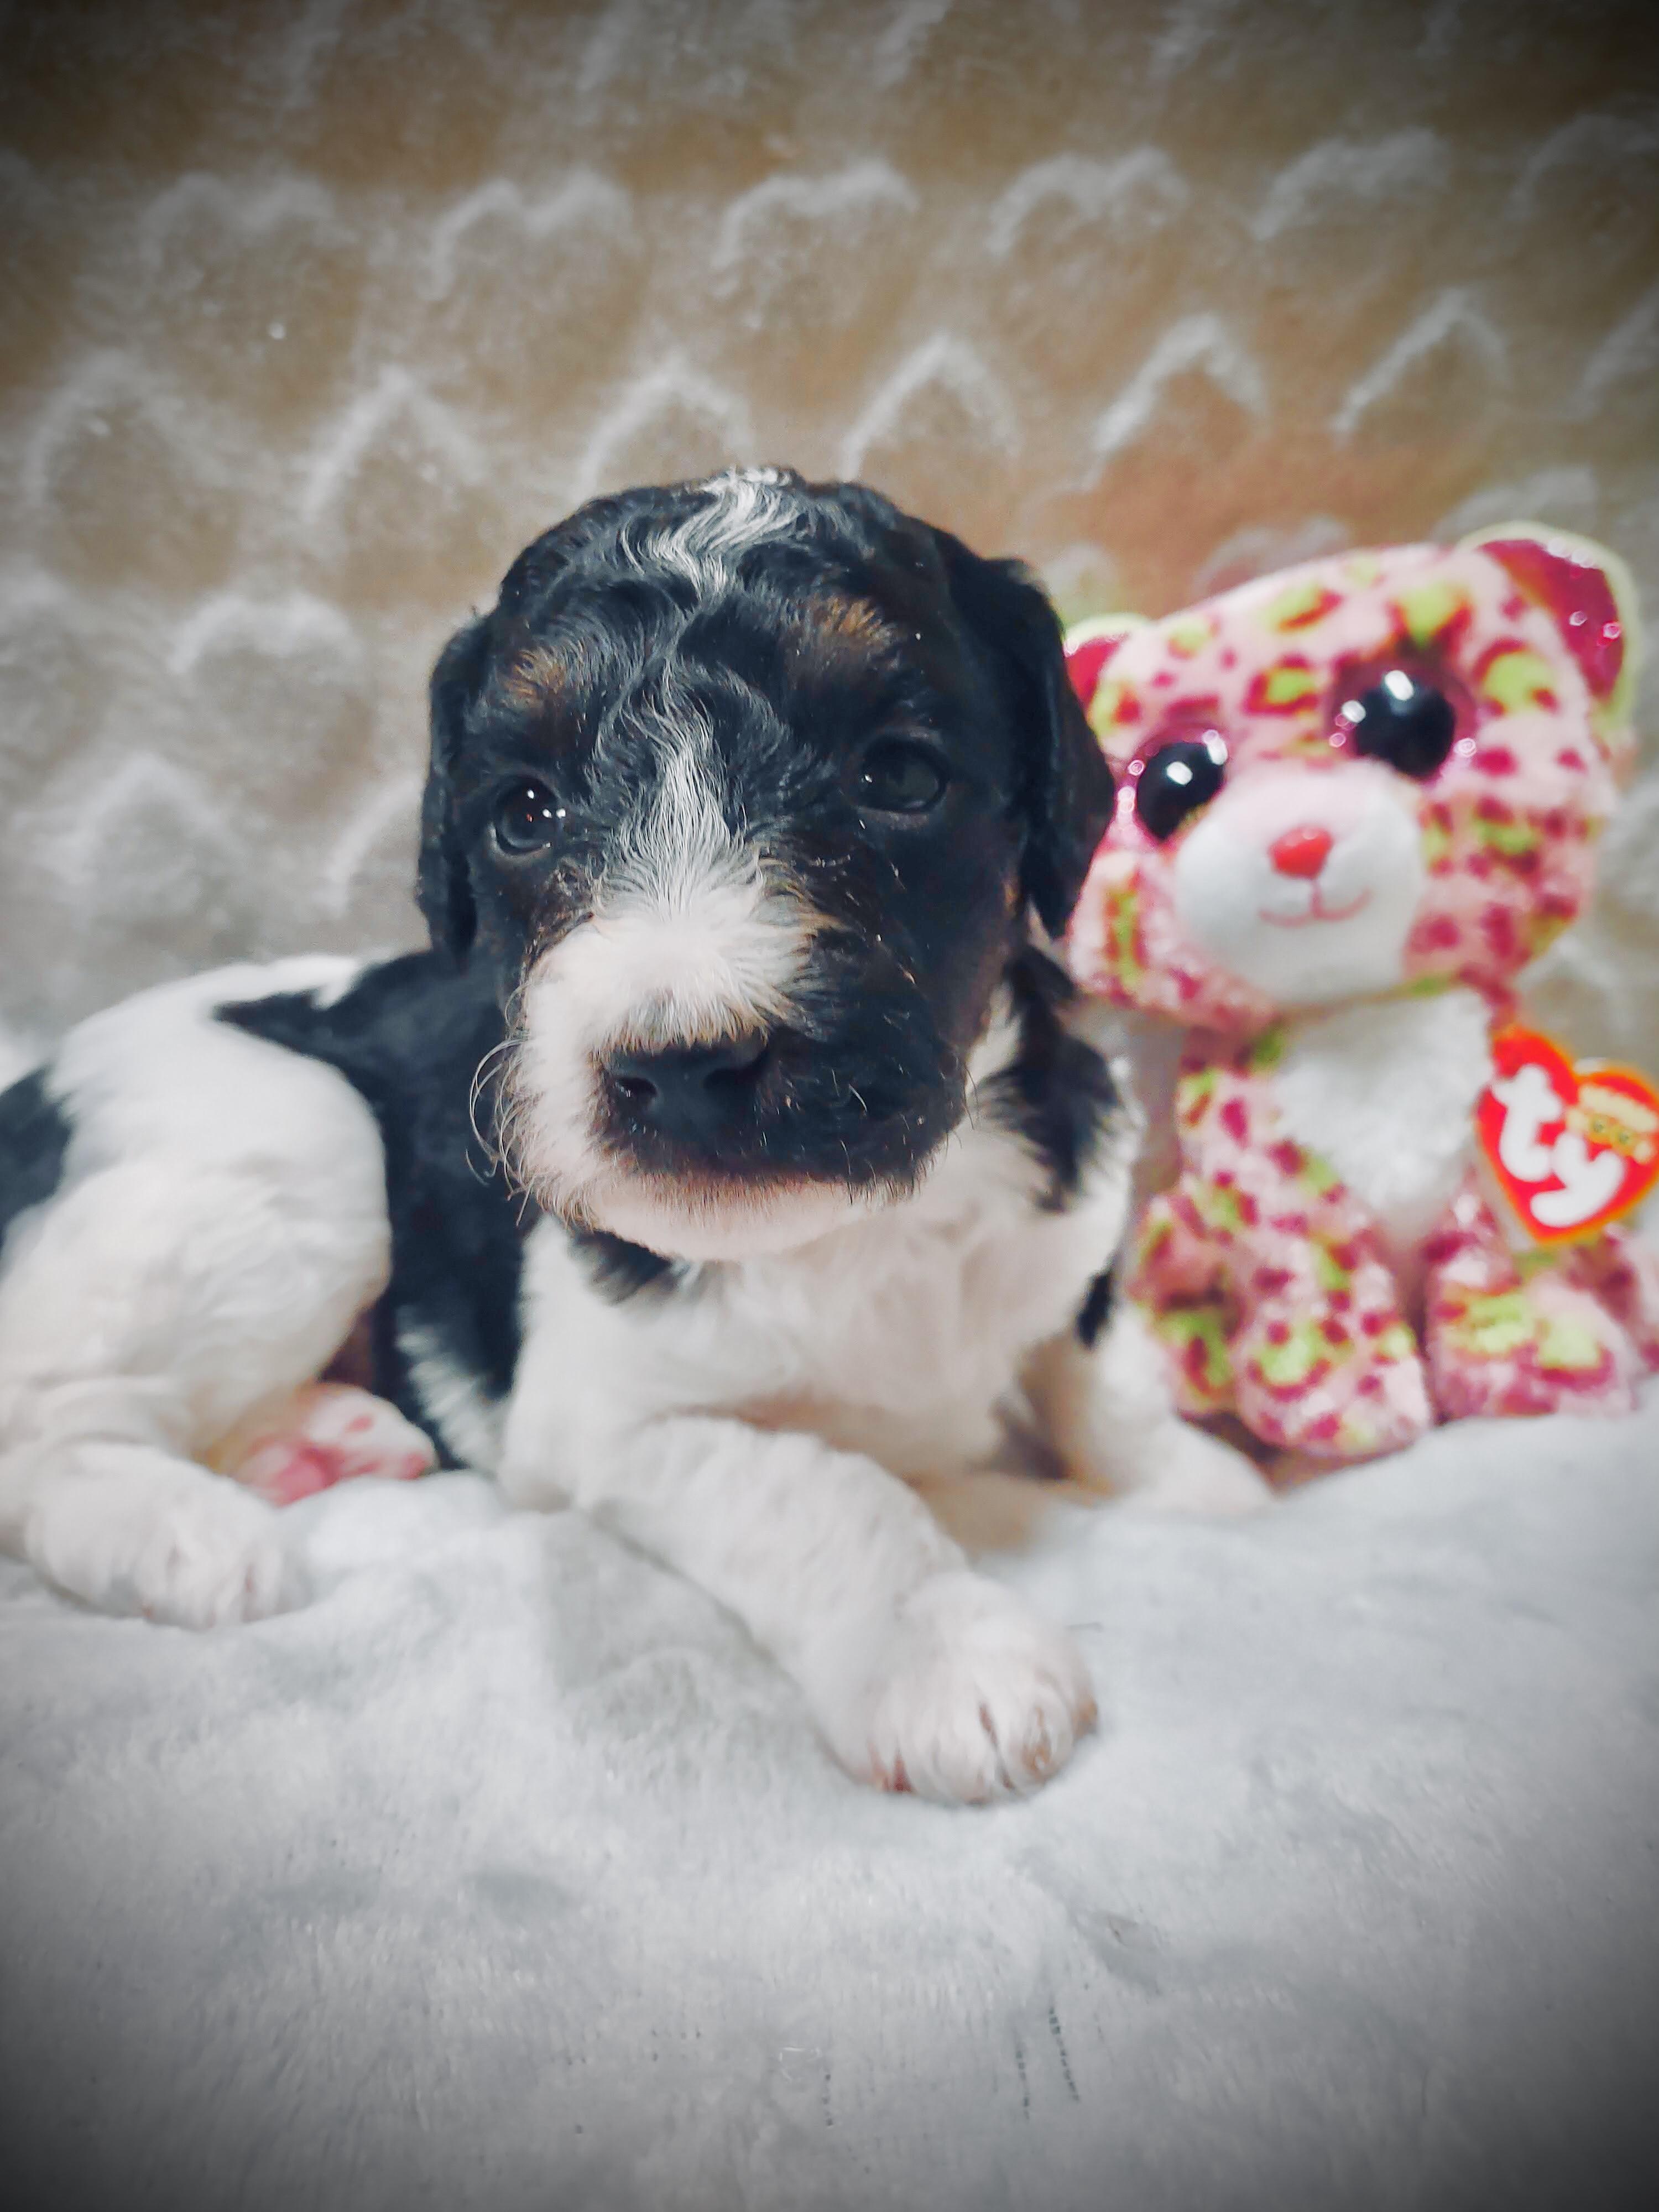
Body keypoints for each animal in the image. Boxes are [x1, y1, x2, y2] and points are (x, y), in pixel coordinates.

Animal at [0, 470, 1261, 1802]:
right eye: (525, 811)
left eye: (902, 778)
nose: (687, 1065)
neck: (872, 1228)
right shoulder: (613, 1422)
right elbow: (824, 1490)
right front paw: (946, 1655)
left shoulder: (1073, 1207)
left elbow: (1099, 1357)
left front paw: (1192, 1476)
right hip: (296, 1141)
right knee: (41, 1422)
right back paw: (182, 1529)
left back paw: (318, 1441)